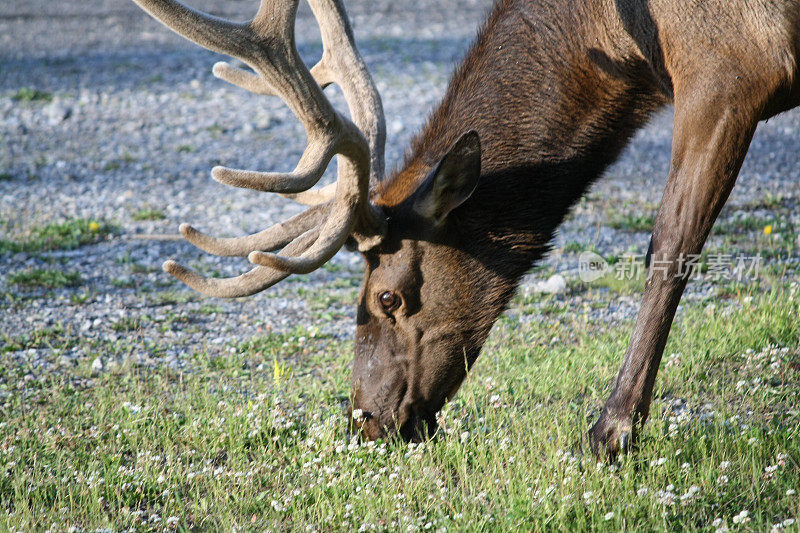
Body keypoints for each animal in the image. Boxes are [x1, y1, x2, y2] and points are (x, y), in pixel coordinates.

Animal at [131, 0, 800, 458]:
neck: (631, 46)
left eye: (387, 297)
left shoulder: (731, 69)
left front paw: (610, 433)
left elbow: (671, 246)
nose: (364, 422)